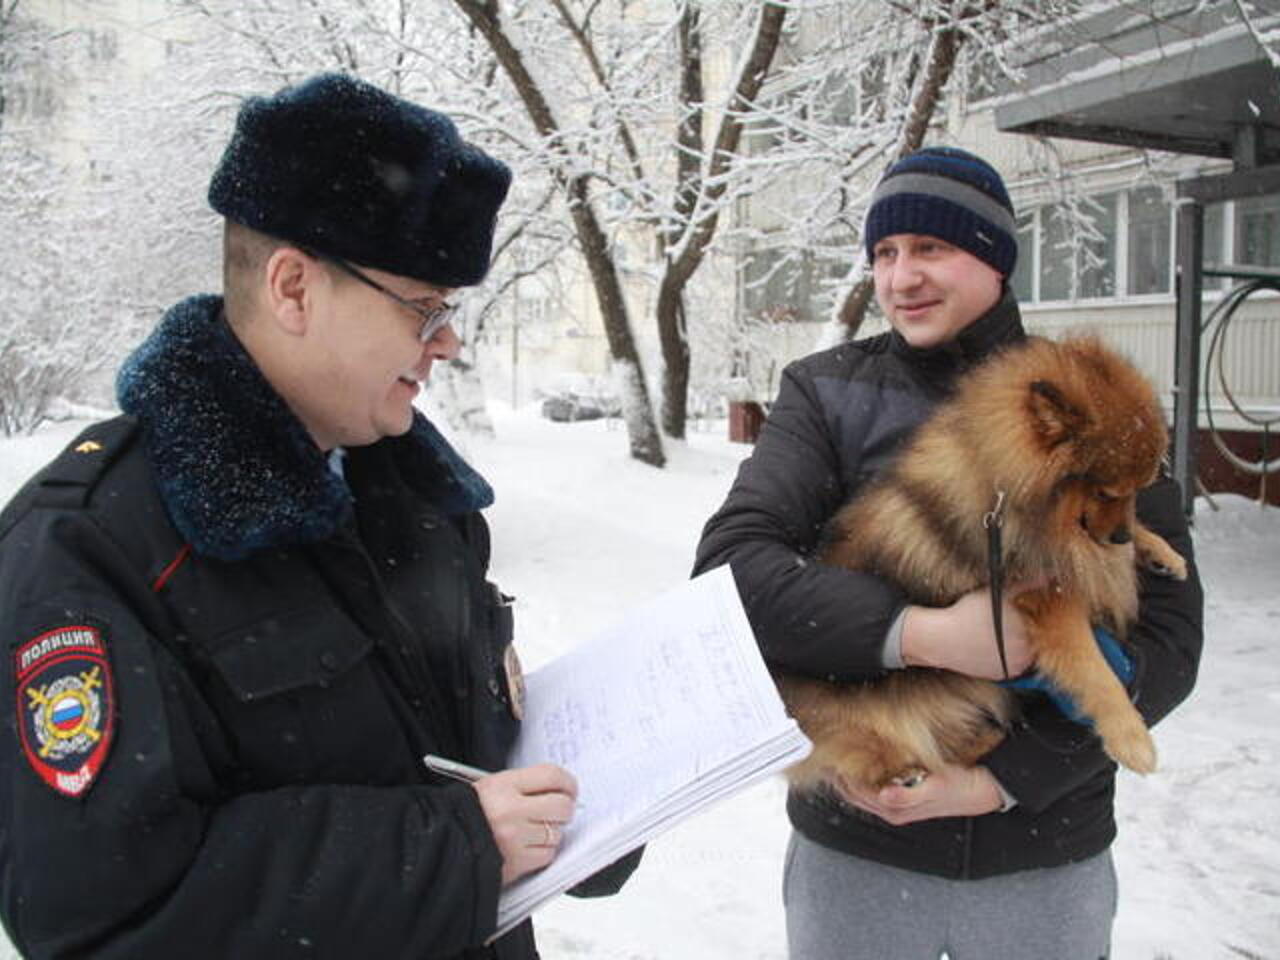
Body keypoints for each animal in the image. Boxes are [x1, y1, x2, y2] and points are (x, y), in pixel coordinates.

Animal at [778, 337, 1187, 798]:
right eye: (1106, 492)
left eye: (1139, 490)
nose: (1119, 537)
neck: (1006, 493)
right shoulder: (1046, 598)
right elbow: (1094, 670)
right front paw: (1131, 738)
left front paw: (1161, 552)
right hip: (874, 720)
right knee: (887, 754)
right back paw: (915, 768)